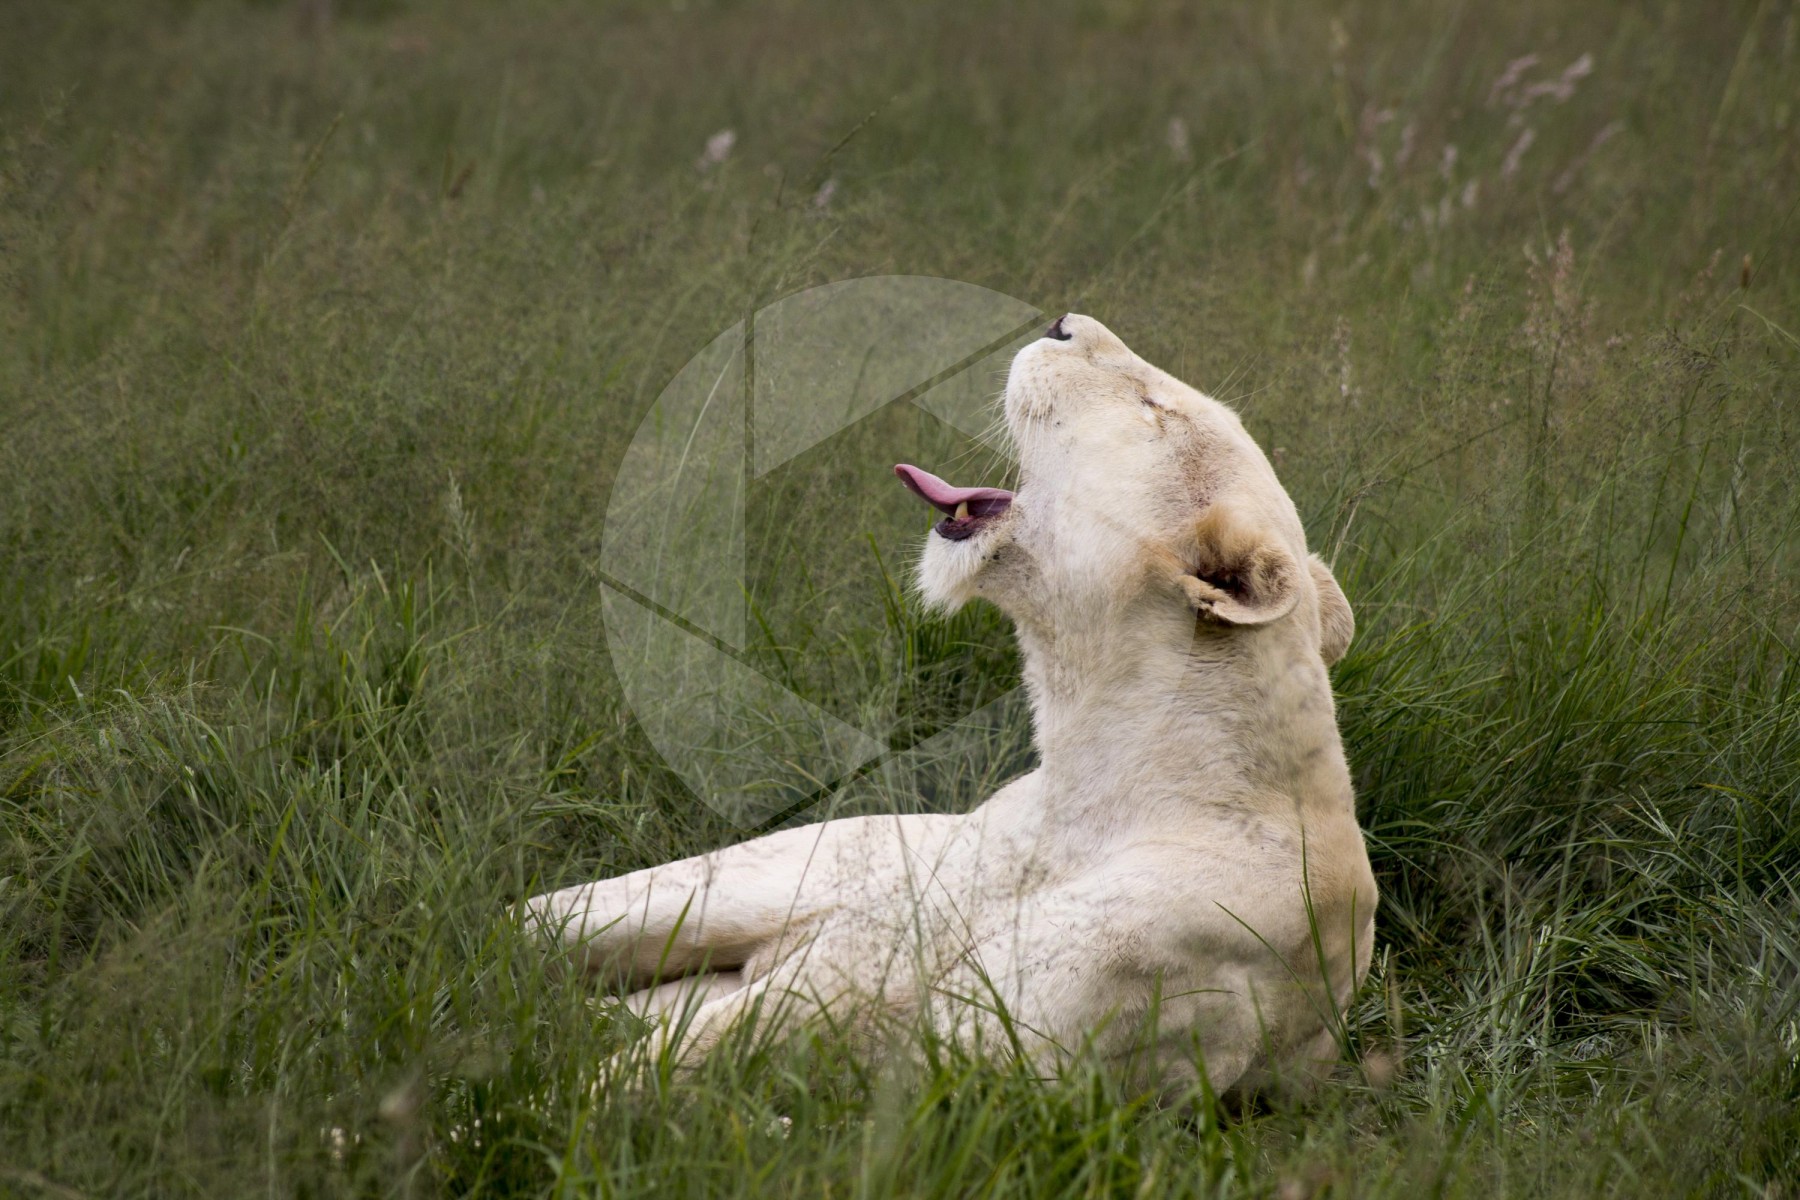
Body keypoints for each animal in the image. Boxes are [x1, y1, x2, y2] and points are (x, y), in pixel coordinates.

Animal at [525, 314, 1375, 1099]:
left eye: (1152, 408)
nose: (1063, 322)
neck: (1091, 783)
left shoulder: (982, 1063)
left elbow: (662, 1073)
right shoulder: (875, 941)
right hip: (731, 884)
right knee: (529, 925)